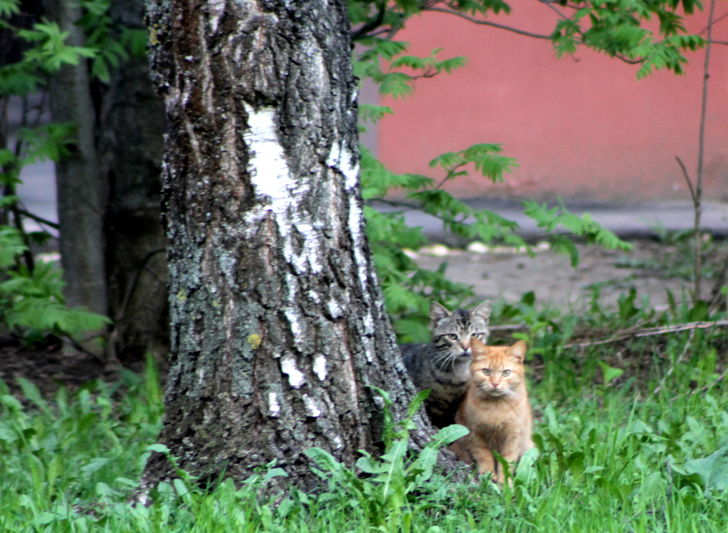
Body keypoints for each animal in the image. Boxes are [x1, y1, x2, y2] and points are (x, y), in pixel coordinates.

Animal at [450, 338, 536, 484]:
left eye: (506, 372)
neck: (496, 408)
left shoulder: (513, 436)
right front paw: (488, 474)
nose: (495, 383)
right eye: (486, 372)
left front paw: (504, 482)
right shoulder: (474, 433)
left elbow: (507, 461)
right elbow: (484, 455)